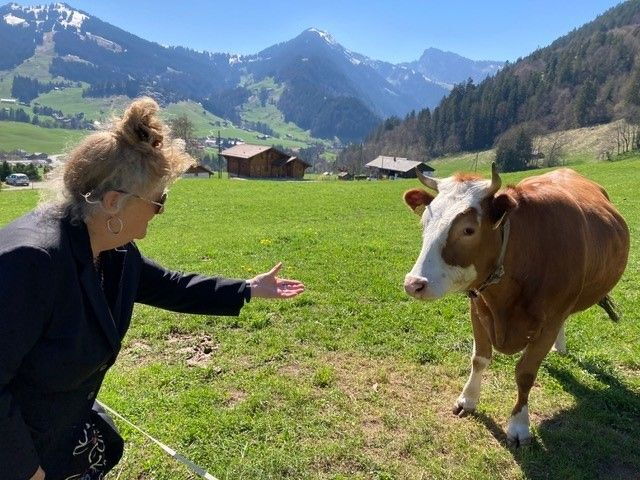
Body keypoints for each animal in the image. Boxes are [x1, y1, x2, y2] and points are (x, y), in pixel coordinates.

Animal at [403, 164, 630, 446]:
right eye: (425, 222)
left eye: (468, 230)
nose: (414, 283)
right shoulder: (478, 308)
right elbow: (479, 358)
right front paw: (468, 400)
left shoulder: (550, 321)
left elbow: (525, 373)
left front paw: (519, 425)